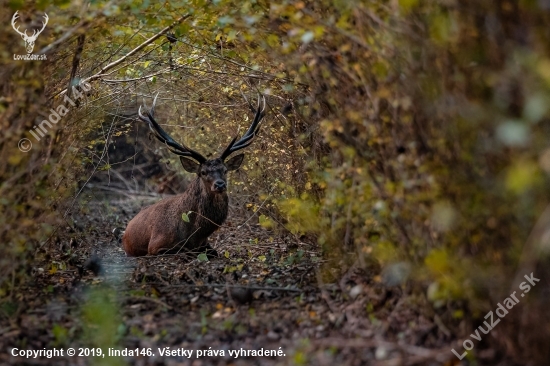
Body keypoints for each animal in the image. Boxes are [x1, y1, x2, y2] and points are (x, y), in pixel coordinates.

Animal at [121, 93, 268, 258]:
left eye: (225, 170)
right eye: (203, 172)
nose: (220, 184)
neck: (194, 234)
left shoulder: (206, 244)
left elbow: (212, 252)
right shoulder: (155, 245)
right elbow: (183, 251)